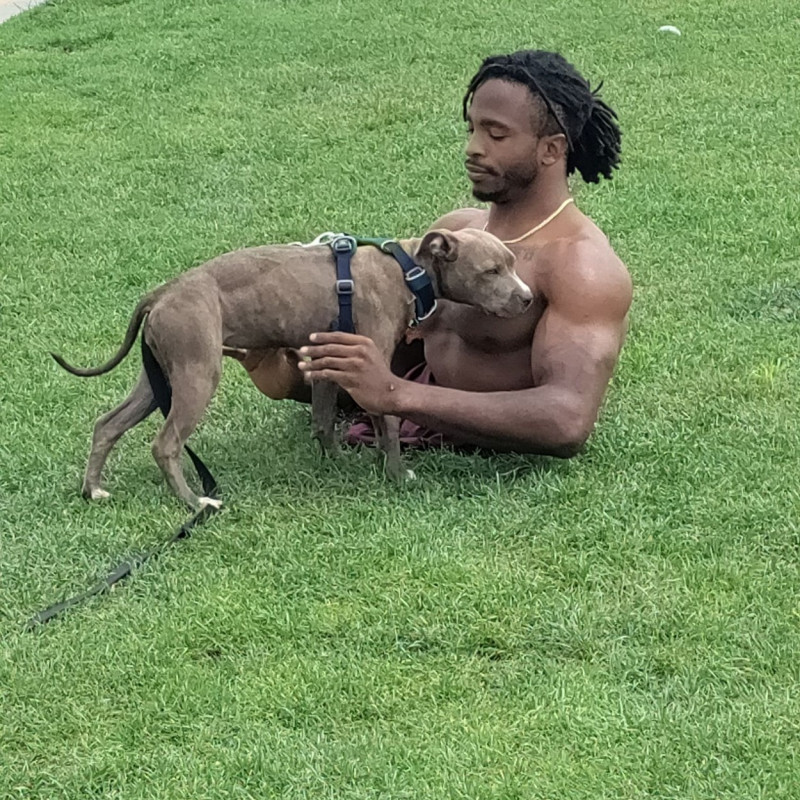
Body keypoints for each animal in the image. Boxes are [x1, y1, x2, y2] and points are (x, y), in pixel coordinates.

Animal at [54, 228, 532, 510]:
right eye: (491, 270)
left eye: (512, 263)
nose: (528, 297)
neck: (407, 268)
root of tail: (161, 293)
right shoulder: (374, 367)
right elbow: (391, 424)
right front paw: (396, 475)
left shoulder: (328, 362)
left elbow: (324, 420)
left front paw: (340, 462)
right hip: (197, 375)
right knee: (165, 444)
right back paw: (195, 502)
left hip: (158, 380)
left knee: (107, 424)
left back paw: (93, 489)